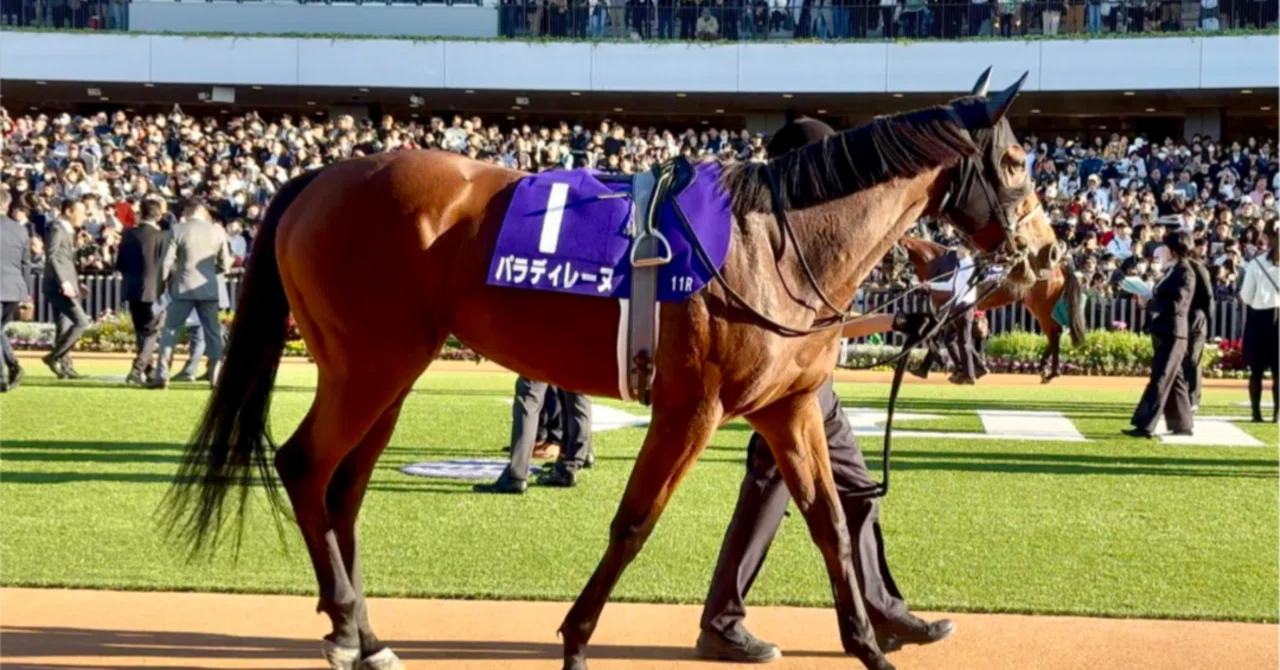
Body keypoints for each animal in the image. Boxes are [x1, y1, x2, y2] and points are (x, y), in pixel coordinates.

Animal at [163, 69, 1060, 670]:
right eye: (1017, 162)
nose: (1050, 257)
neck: (777, 243)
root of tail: (321, 173)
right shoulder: (693, 406)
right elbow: (634, 522)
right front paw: (575, 638)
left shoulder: (790, 404)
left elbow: (831, 521)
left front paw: (871, 644)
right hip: (369, 363)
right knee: (305, 465)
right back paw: (350, 626)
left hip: (387, 368)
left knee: (343, 488)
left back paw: (366, 633)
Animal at [898, 236, 1086, 382]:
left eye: (893, 255)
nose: (899, 280)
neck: (941, 264)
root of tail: (1058, 266)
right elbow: (952, 338)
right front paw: (971, 368)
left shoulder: (947, 307)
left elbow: (940, 337)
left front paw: (945, 367)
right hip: (1037, 306)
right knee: (1054, 333)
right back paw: (1044, 368)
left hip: (1042, 306)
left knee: (1054, 333)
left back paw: (1051, 373)